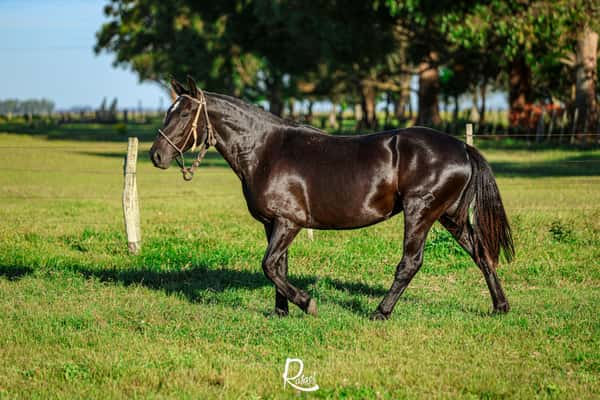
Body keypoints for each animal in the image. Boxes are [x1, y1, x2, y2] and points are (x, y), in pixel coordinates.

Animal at [150, 78, 516, 320]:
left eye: (184, 114)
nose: (156, 155)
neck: (266, 151)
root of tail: (462, 147)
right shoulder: (274, 224)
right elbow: (279, 266)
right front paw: (281, 312)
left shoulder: (289, 223)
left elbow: (269, 265)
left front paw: (307, 303)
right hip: (450, 216)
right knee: (481, 253)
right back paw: (500, 307)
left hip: (421, 212)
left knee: (410, 263)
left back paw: (381, 312)